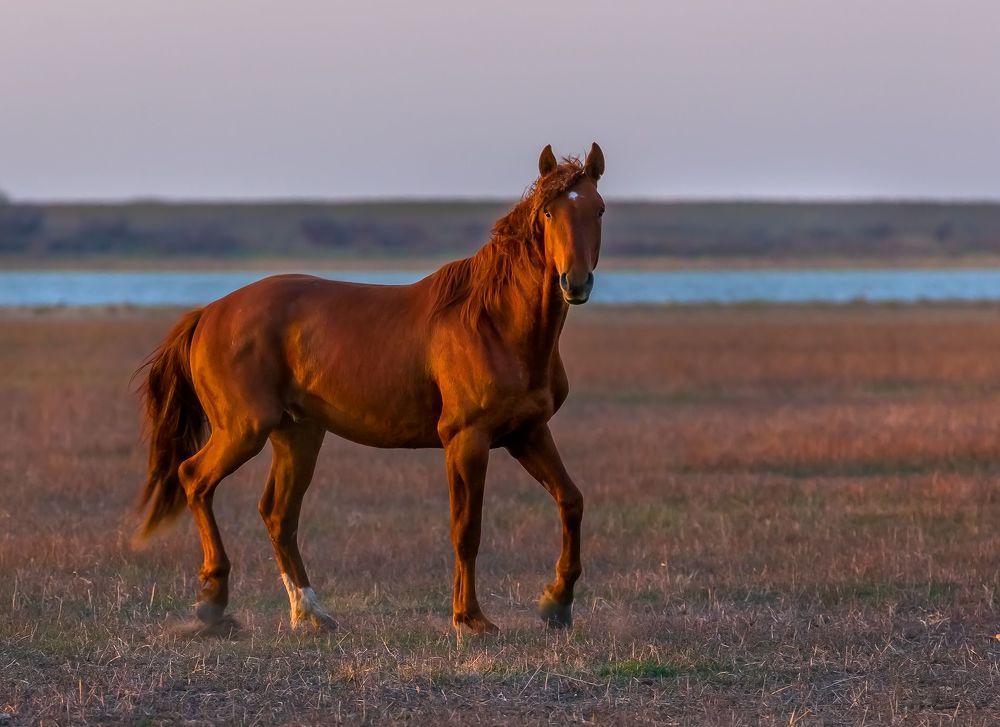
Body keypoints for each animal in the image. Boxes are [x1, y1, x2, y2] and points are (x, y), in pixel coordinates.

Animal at [136, 143, 606, 634]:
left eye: (599, 209)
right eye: (549, 212)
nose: (575, 282)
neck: (495, 323)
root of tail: (209, 313)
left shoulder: (527, 433)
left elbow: (571, 501)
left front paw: (556, 603)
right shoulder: (467, 440)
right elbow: (466, 528)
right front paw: (470, 620)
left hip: (297, 434)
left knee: (278, 514)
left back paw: (310, 612)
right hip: (243, 431)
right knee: (195, 478)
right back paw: (213, 602)